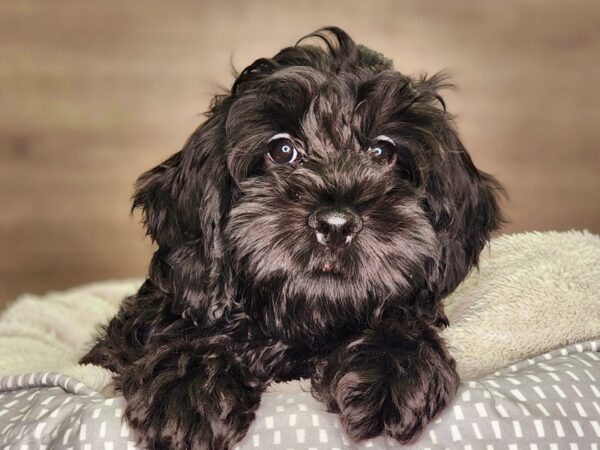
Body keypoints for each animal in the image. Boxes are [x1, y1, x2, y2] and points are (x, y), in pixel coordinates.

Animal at [79, 28, 502, 450]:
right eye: (282, 150)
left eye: (383, 151)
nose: (335, 224)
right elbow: (188, 325)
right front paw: (189, 387)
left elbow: (401, 315)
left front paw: (393, 364)